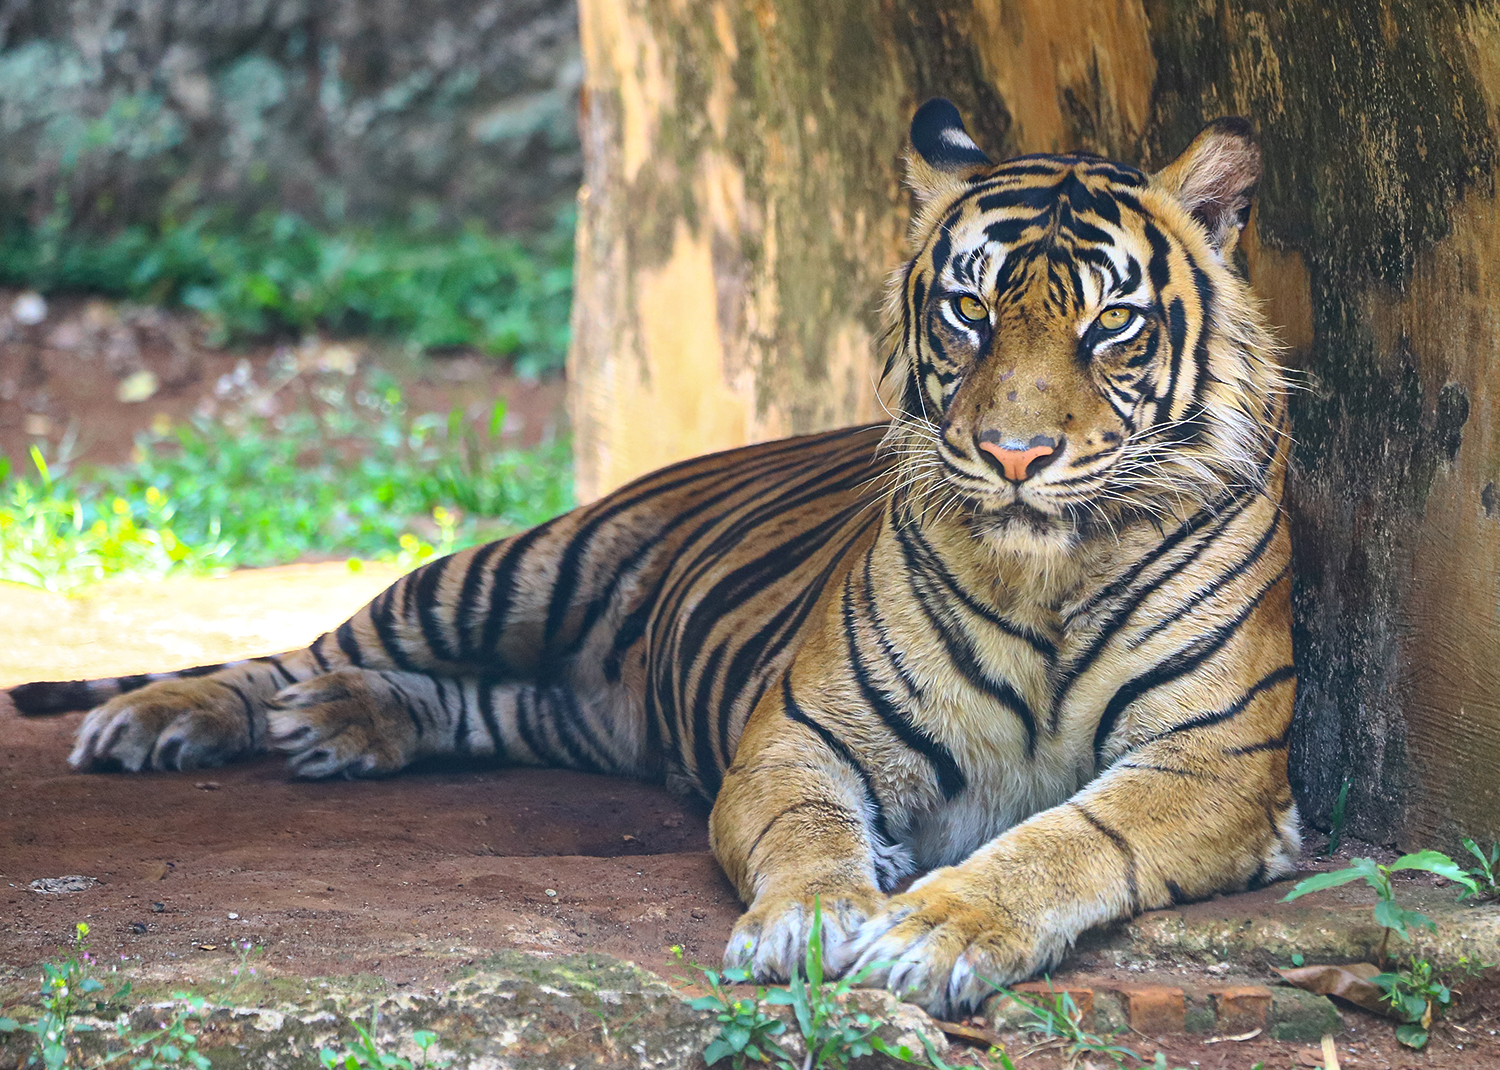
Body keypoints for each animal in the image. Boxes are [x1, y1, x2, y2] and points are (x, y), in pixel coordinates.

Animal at [9, 98, 1297, 1019]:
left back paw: (345, 723)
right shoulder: (801, 738)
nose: (1014, 453)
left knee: (480, 705)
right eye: (970, 312)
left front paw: (933, 930)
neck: (1047, 571)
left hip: (575, 701)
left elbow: (1063, 839)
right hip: (511, 571)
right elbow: (810, 834)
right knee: (304, 648)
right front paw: (813, 921)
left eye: (1110, 323)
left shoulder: (1210, 766)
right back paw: (166, 719)